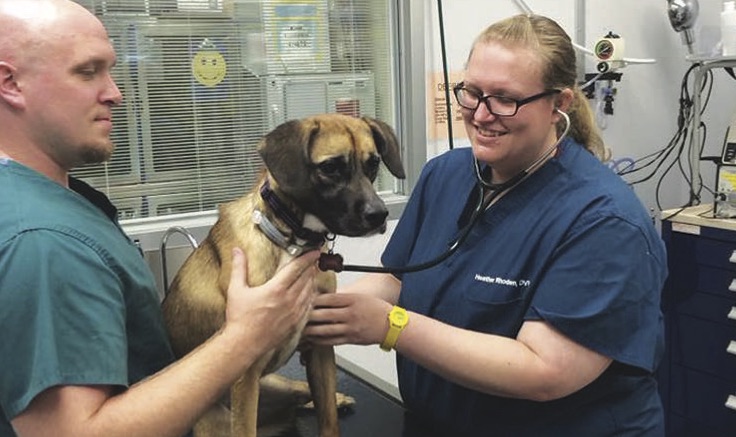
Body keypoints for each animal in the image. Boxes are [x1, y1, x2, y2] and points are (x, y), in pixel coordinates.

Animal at [161, 113, 406, 436]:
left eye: (374, 163)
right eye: (330, 167)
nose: (378, 215)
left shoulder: (320, 347)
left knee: (303, 392)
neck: (292, 242)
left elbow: (329, 419)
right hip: (216, 418)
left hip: (281, 385)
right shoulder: (246, 374)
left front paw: (332, 405)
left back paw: (337, 399)